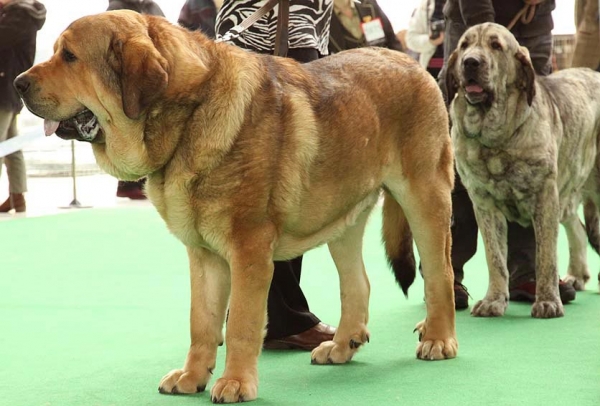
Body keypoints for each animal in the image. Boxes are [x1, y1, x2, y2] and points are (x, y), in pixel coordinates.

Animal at [15, 10, 454, 402]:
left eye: (70, 56)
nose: (18, 83)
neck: (188, 116)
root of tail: (409, 61)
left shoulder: (248, 250)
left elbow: (241, 321)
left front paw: (236, 383)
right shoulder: (204, 255)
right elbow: (203, 322)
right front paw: (192, 377)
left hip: (425, 198)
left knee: (439, 274)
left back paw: (438, 338)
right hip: (342, 220)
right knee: (357, 283)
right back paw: (342, 346)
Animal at [446, 23, 600, 320]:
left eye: (496, 46)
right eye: (464, 45)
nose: (470, 62)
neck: (497, 138)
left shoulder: (545, 198)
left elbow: (545, 257)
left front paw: (548, 301)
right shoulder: (483, 203)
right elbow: (495, 257)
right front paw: (494, 300)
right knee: (577, 228)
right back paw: (576, 275)